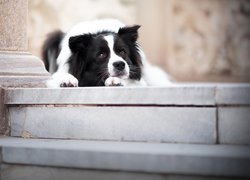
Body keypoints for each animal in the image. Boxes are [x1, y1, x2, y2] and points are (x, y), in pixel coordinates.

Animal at [42, 18, 173, 87]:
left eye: (122, 52)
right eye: (101, 55)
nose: (120, 64)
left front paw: (115, 80)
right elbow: (58, 75)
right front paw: (67, 79)